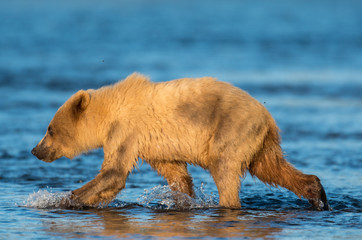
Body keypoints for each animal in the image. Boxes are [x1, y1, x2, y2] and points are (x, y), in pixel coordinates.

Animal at [31, 73, 330, 210]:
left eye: (49, 129)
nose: (35, 150)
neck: (109, 113)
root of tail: (267, 116)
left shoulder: (126, 131)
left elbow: (114, 172)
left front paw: (59, 199)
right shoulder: (156, 147)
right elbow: (177, 175)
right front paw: (183, 201)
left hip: (231, 129)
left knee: (225, 167)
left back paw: (228, 204)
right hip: (259, 143)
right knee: (272, 168)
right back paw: (317, 194)